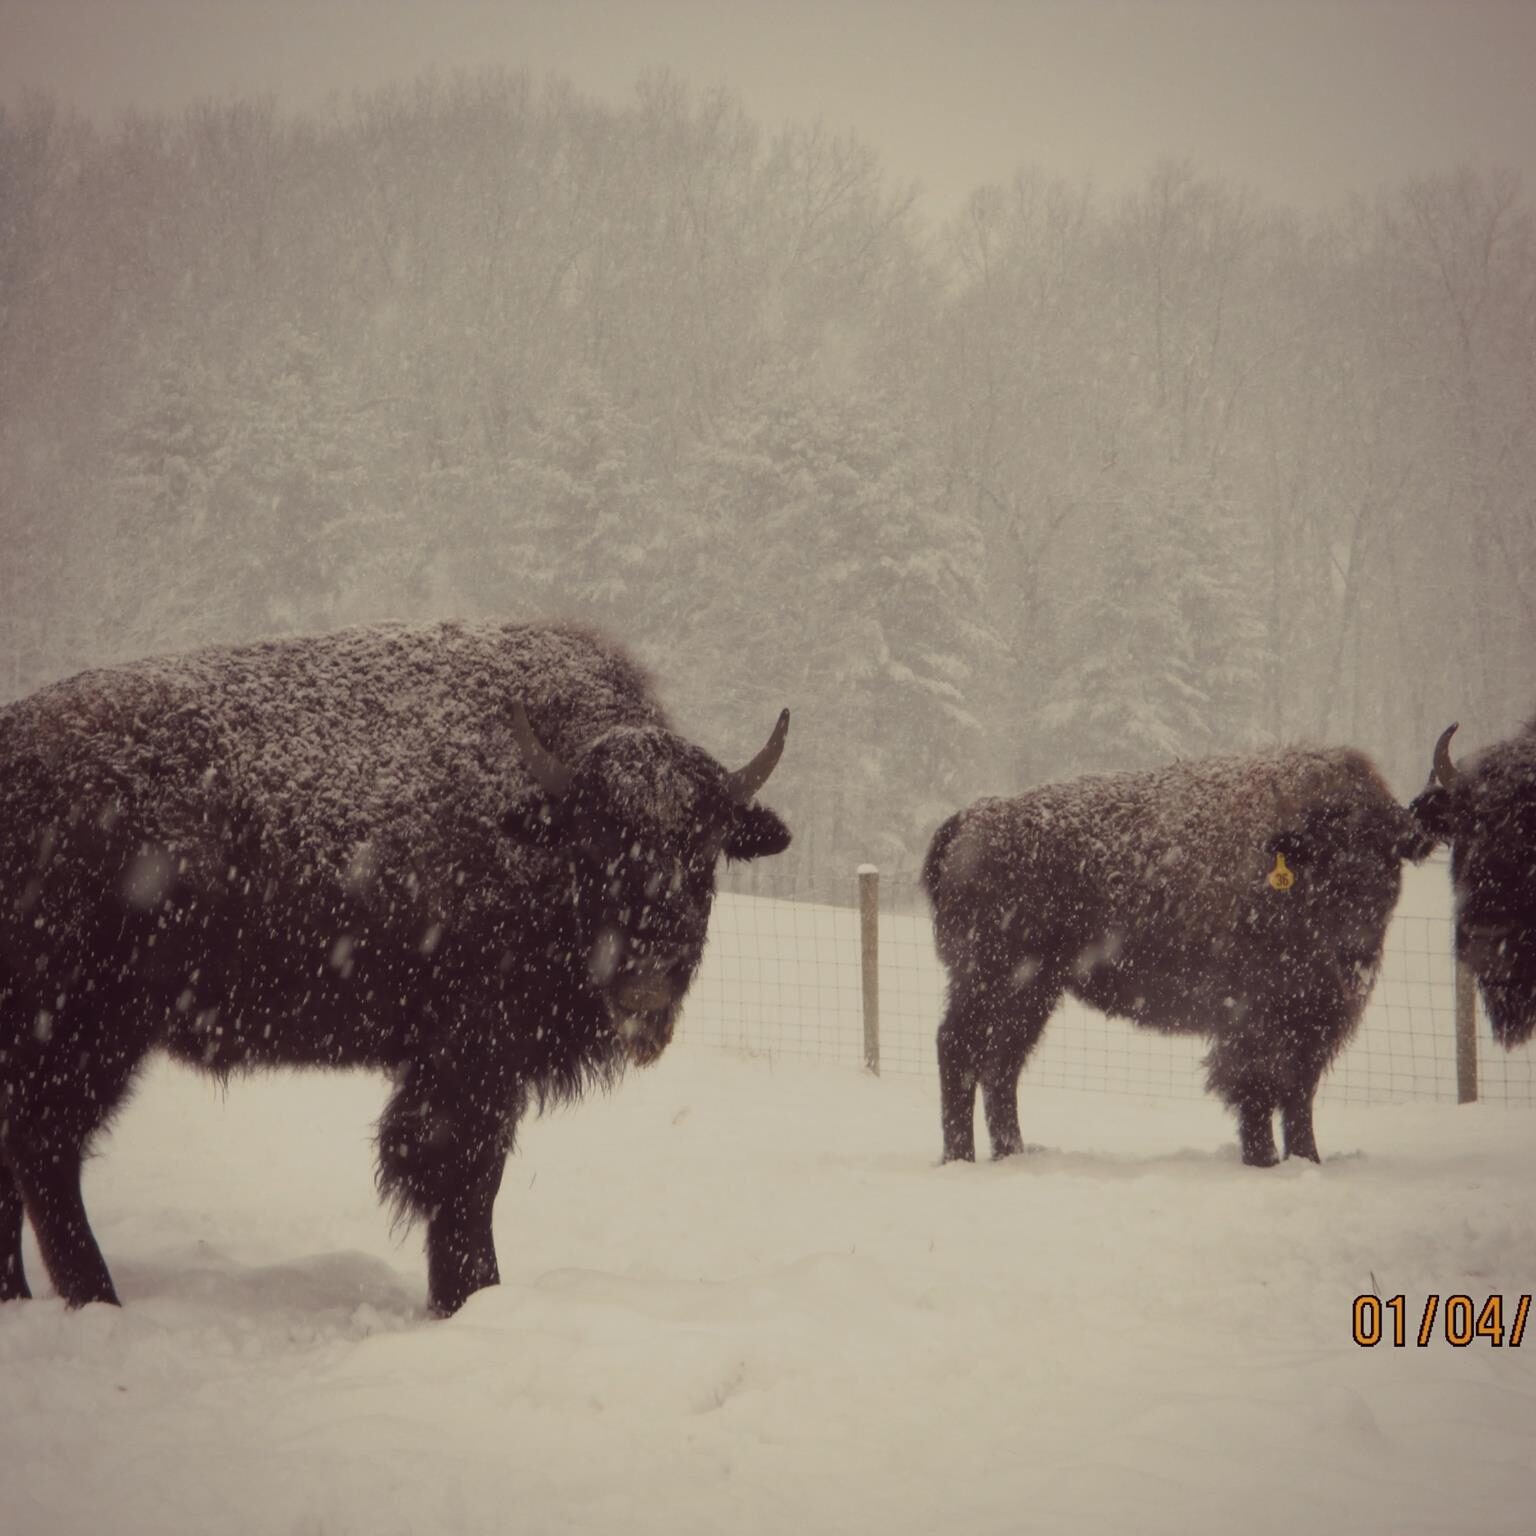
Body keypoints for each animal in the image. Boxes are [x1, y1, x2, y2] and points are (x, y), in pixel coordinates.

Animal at [0, 621, 790, 1314]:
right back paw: (96, 1298)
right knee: (46, 1151)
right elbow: (462, 1181)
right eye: (594, 842)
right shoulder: (471, 1062)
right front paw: (468, 1297)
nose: (645, 987)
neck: (532, 816)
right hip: (81, 1033)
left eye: (705, 850)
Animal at [924, 749, 1434, 1166]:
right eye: (1328, 861)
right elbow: (1258, 1090)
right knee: (958, 1049)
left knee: (1000, 1064)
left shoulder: (1311, 1024)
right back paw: (960, 1158)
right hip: (991, 980)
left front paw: (1307, 1160)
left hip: (1033, 992)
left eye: (1391, 859)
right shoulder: (1256, 1022)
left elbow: (1297, 1095)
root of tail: (972, 819)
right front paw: (1264, 1161)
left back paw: (1011, 1153)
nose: (1357, 945)